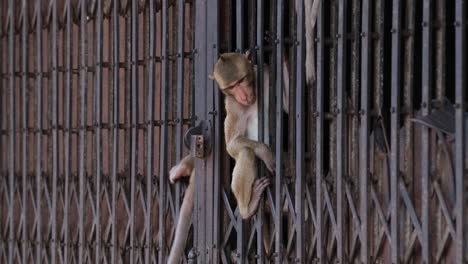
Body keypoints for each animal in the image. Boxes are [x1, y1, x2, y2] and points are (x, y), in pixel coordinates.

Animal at [167, 52, 278, 262]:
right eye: (230, 88)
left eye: (241, 80)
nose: (243, 95)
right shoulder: (232, 104)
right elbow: (233, 145)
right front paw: (265, 151)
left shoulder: (267, 74)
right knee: (246, 152)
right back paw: (247, 209)